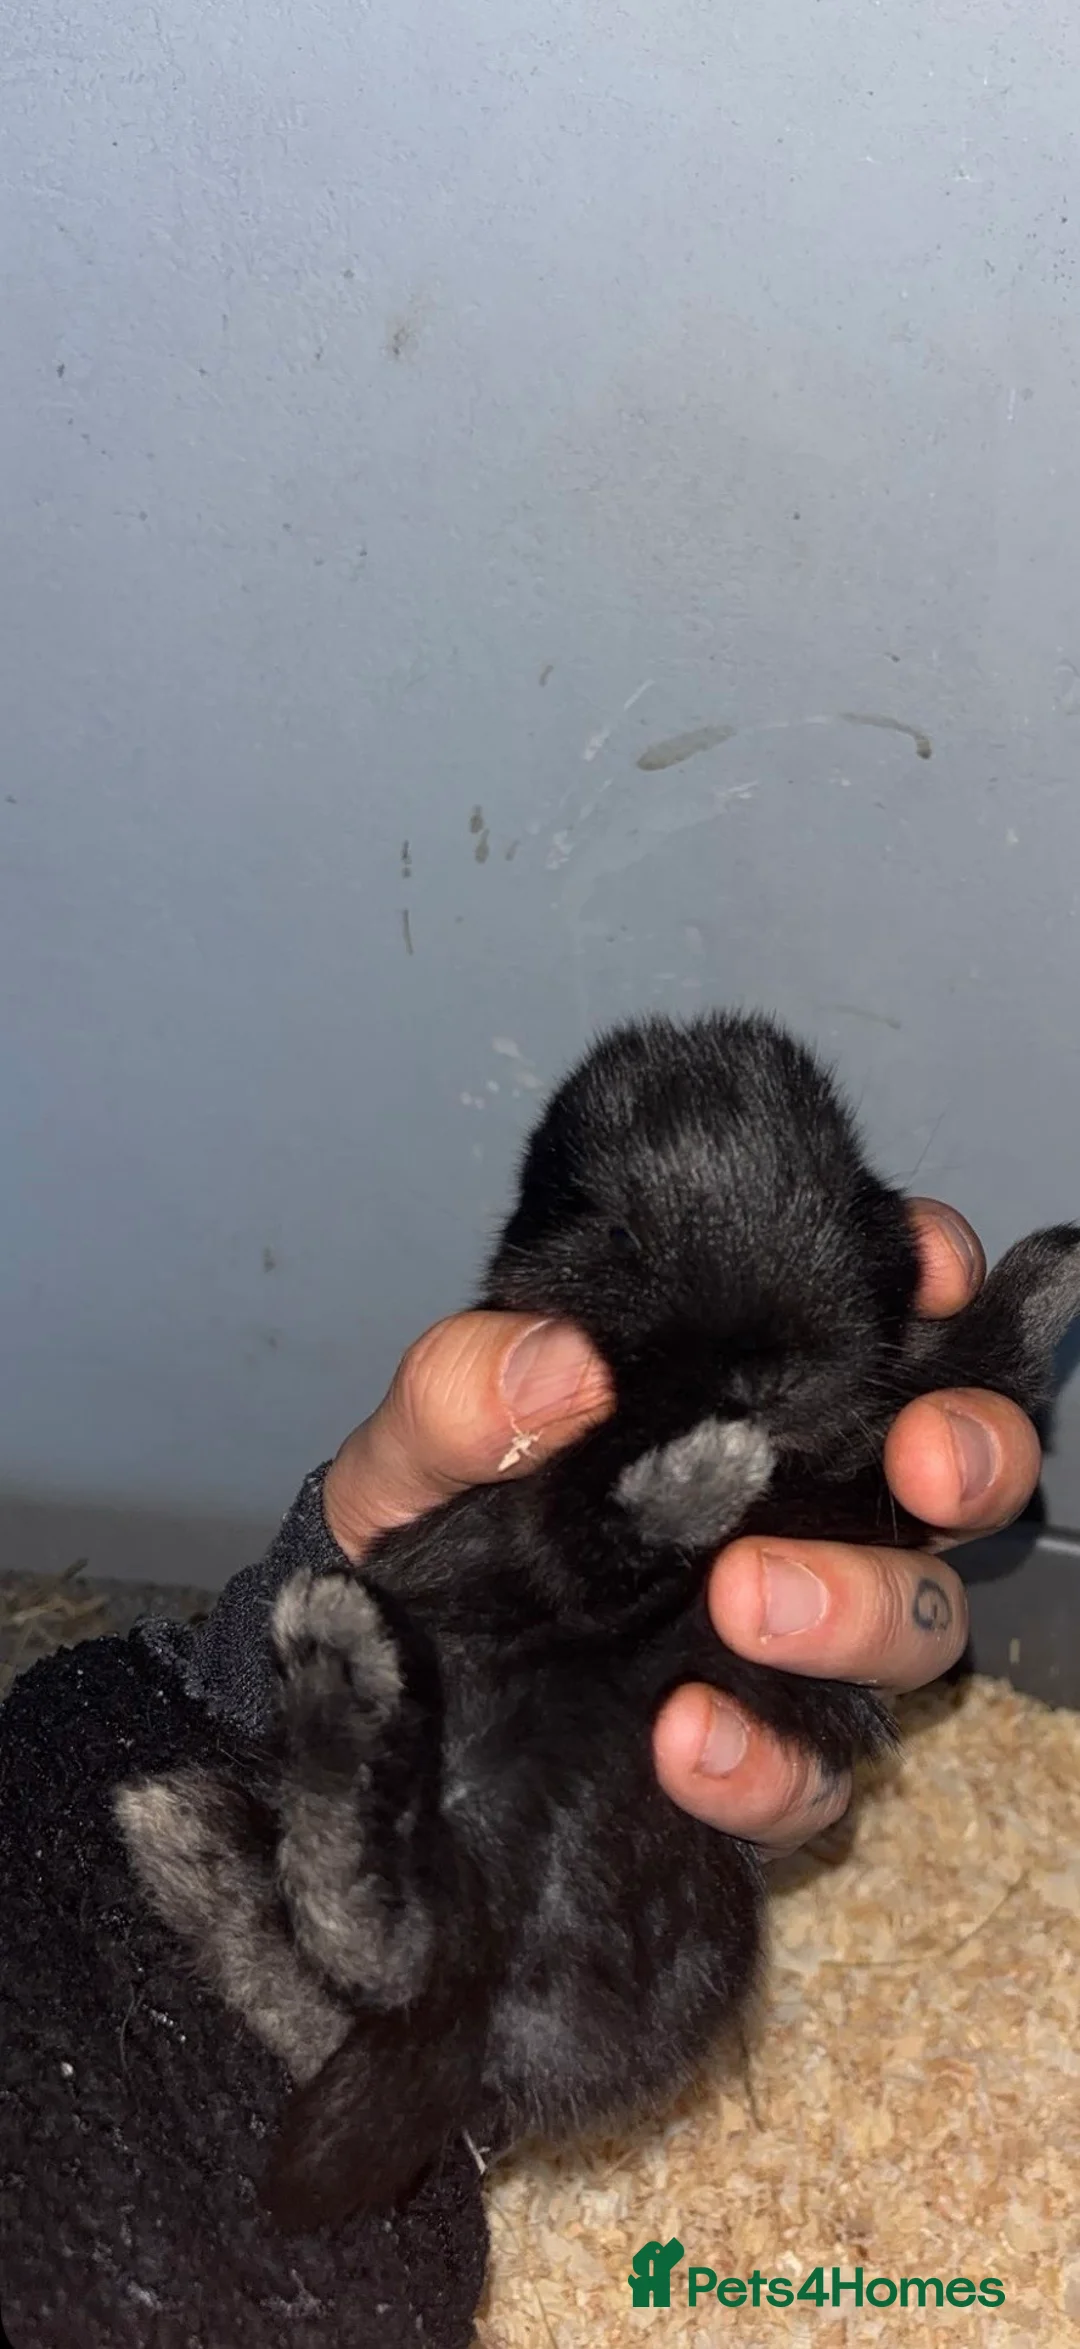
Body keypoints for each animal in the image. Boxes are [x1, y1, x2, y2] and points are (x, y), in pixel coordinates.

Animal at [115, 1010, 1080, 2233]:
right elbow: (594, 1541)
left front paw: (1060, 1258)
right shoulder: (544, 1515)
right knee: (360, 1938)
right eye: (618, 1233)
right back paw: (324, 1664)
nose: (763, 1377)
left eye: (841, 1186)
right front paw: (704, 1471)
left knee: (361, 1961)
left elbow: (981, 1367)